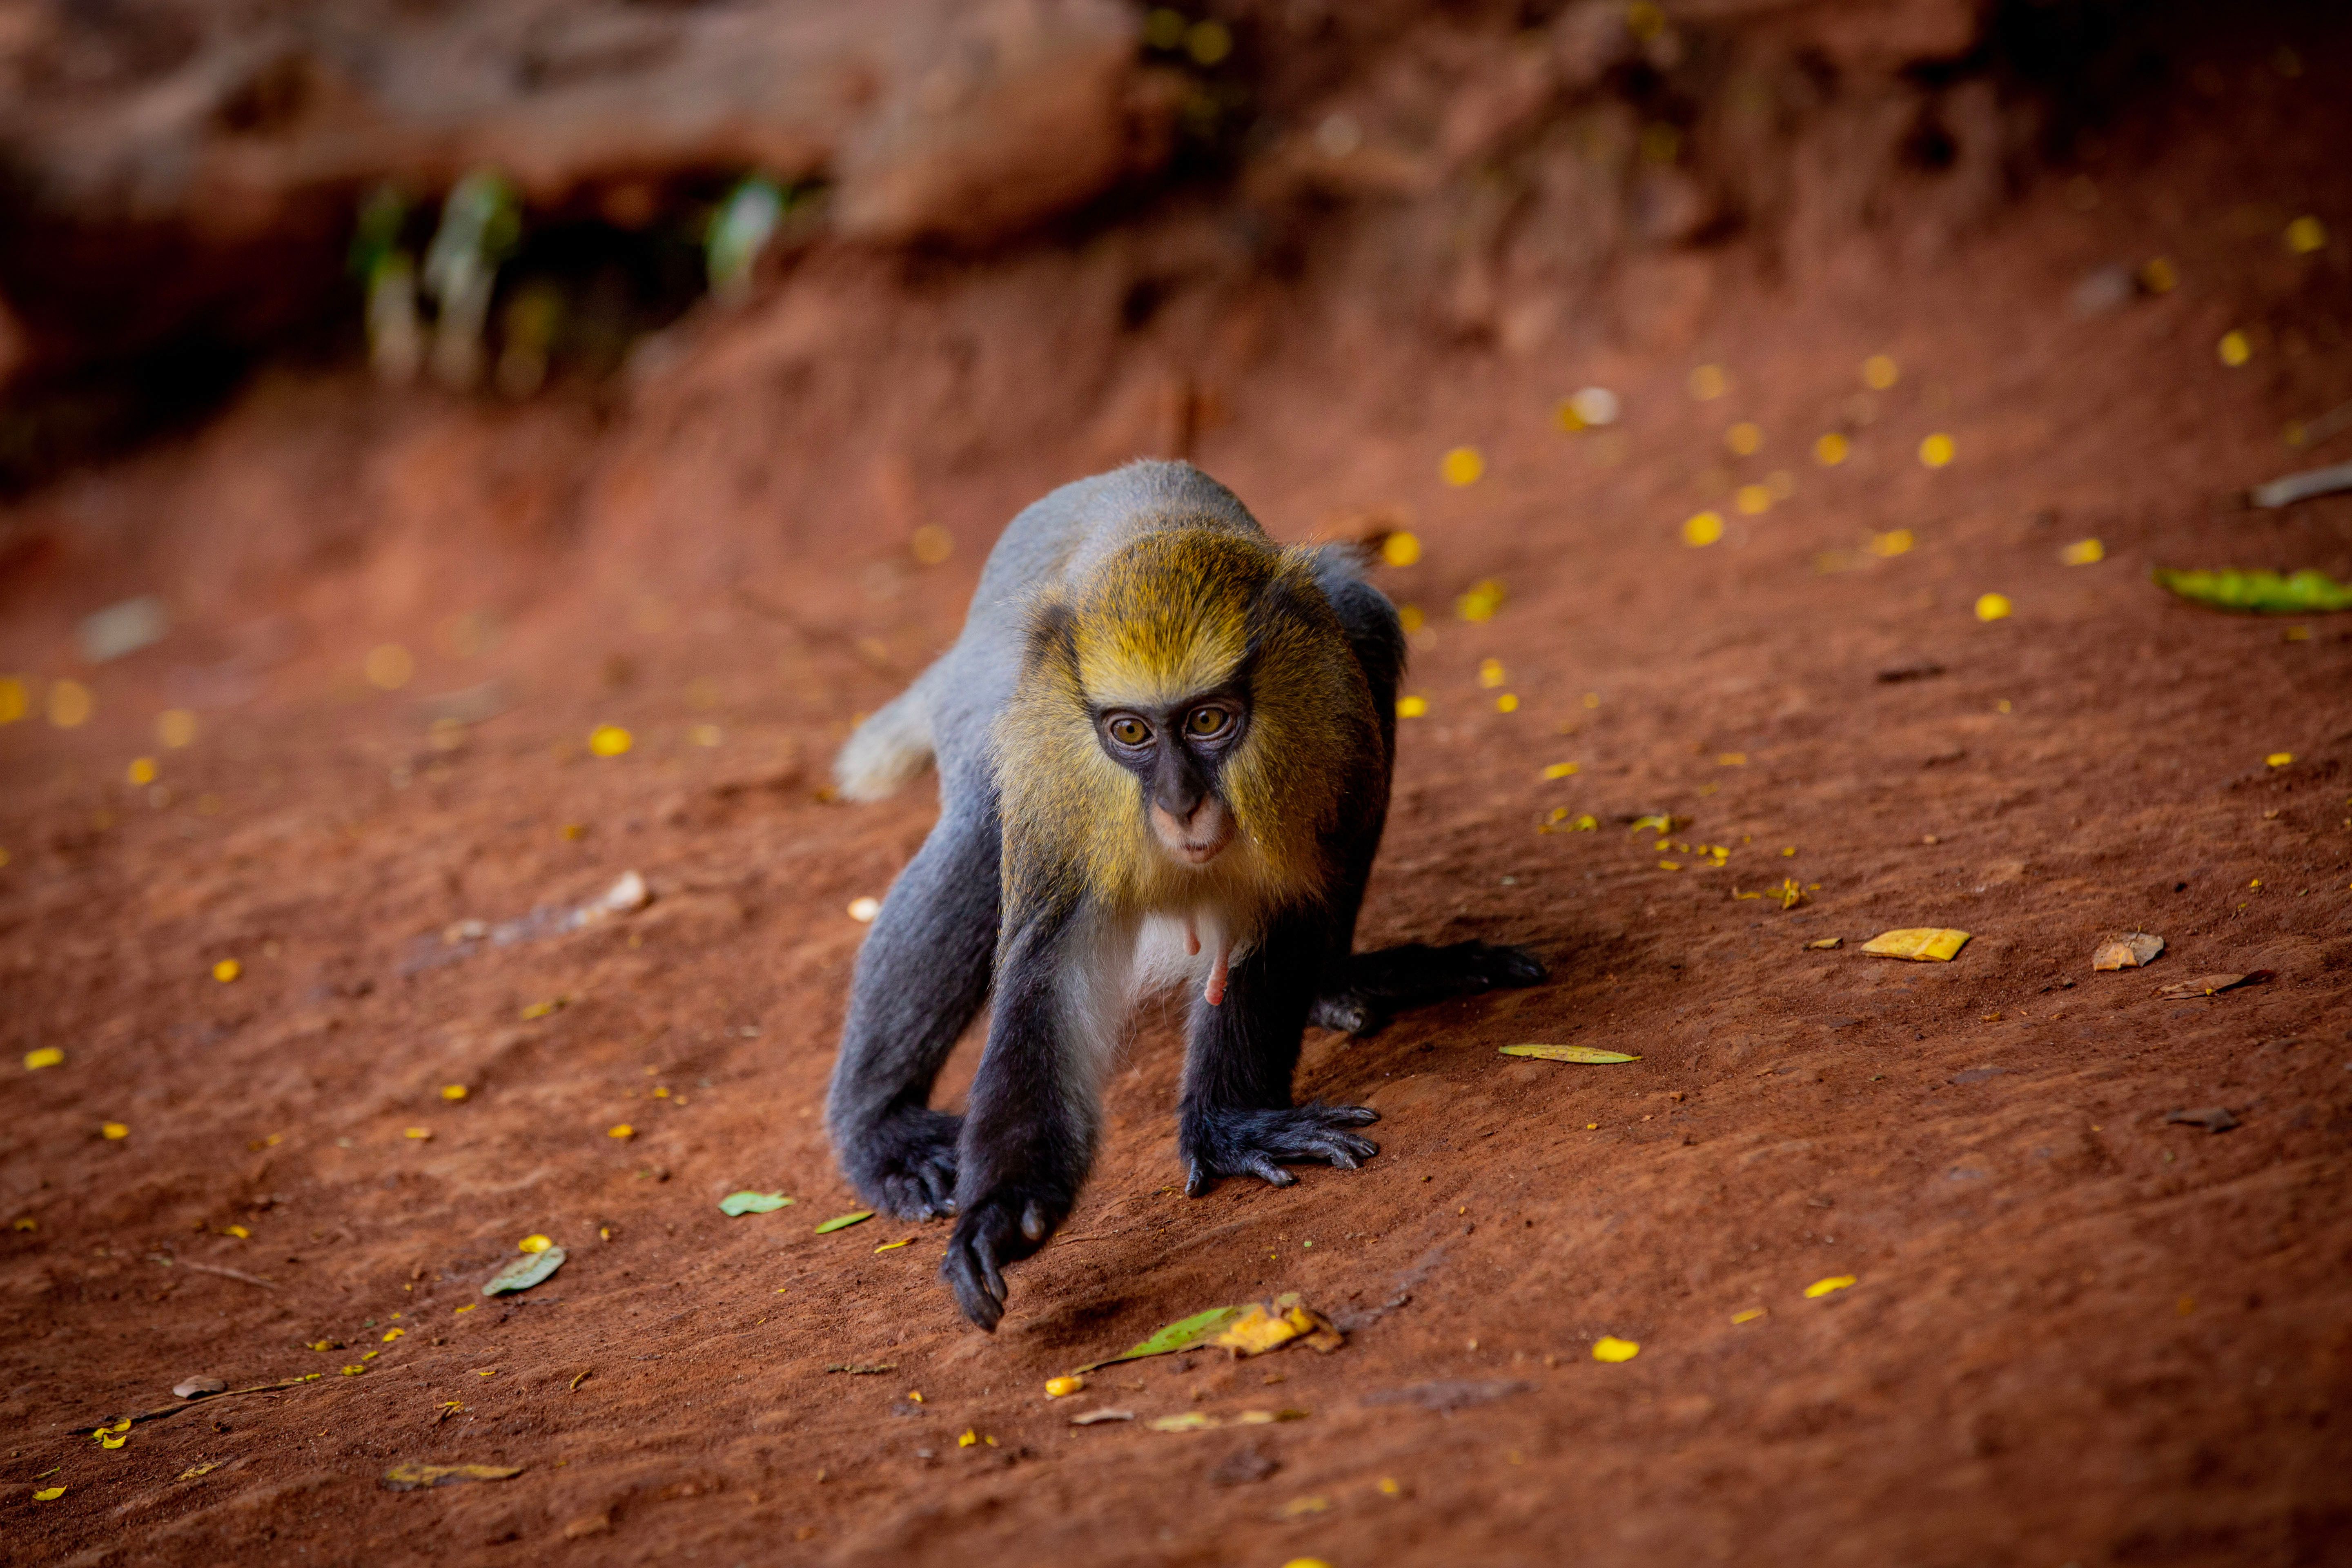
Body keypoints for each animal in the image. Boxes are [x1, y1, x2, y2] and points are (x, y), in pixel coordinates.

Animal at [825, 461, 1545, 1330]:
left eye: (1208, 722)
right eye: (1131, 733)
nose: (1180, 803)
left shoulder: (1324, 723)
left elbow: (1278, 913)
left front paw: (1230, 1127)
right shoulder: (1053, 775)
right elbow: (1052, 975)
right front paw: (1000, 1213)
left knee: (1367, 623)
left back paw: (1335, 982)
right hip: (991, 706)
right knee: (973, 839)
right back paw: (880, 1127)